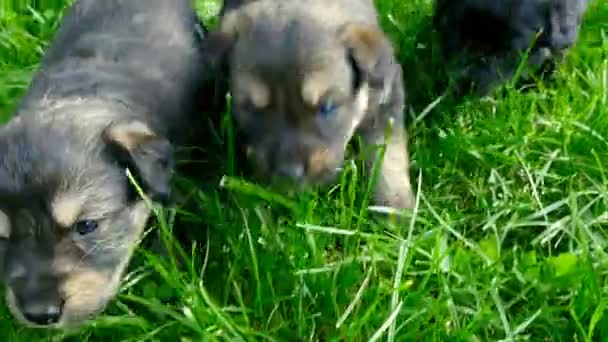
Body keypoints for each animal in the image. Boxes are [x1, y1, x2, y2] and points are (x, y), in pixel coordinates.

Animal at [207, 0, 416, 208]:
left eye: (328, 107)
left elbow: (388, 157)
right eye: (252, 109)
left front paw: (397, 209)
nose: (289, 174)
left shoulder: (386, 97)